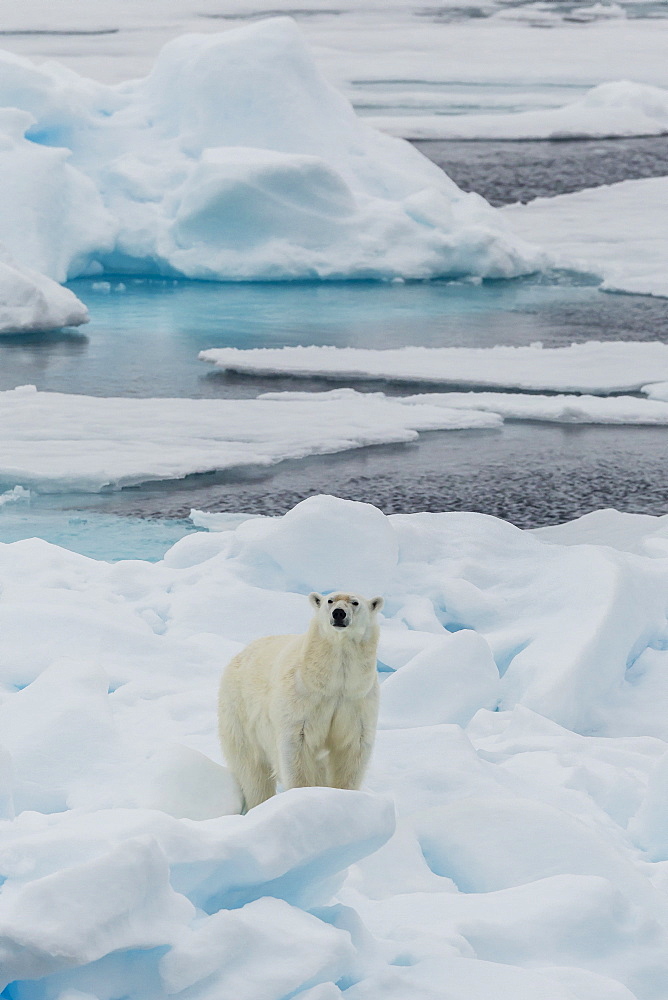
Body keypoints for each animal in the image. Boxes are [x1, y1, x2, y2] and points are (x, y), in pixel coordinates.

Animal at [219, 588, 384, 808]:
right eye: (329, 600)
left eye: (355, 602)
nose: (339, 613)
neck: (332, 683)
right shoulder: (302, 698)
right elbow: (297, 744)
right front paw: (302, 794)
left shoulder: (357, 699)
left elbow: (352, 746)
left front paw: (342, 795)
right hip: (240, 713)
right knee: (252, 769)